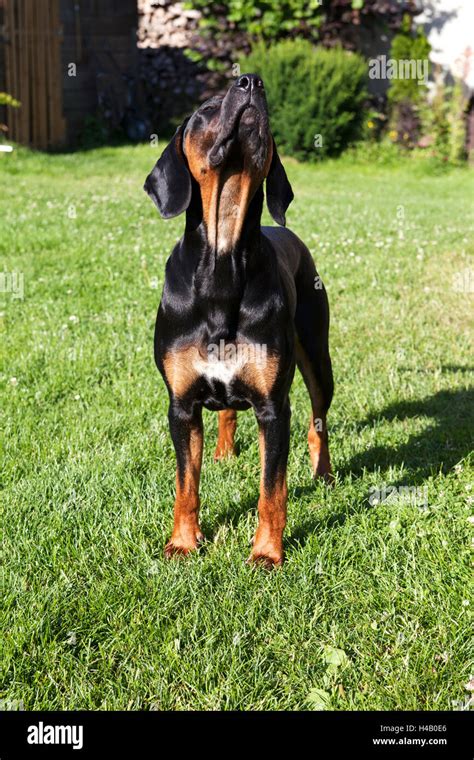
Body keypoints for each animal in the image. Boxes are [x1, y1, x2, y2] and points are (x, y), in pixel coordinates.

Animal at [144, 74, 334, 568]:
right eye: (206, 109)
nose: (251, 82)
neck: (223, 261)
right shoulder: (181, 405)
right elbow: (185, 485)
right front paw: (183, 542)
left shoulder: (273, 407)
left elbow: (272, 489)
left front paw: (267, 552)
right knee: (228, 412)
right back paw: (224, 450)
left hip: (317, 356)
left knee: (319, 419)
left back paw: (324, 473)